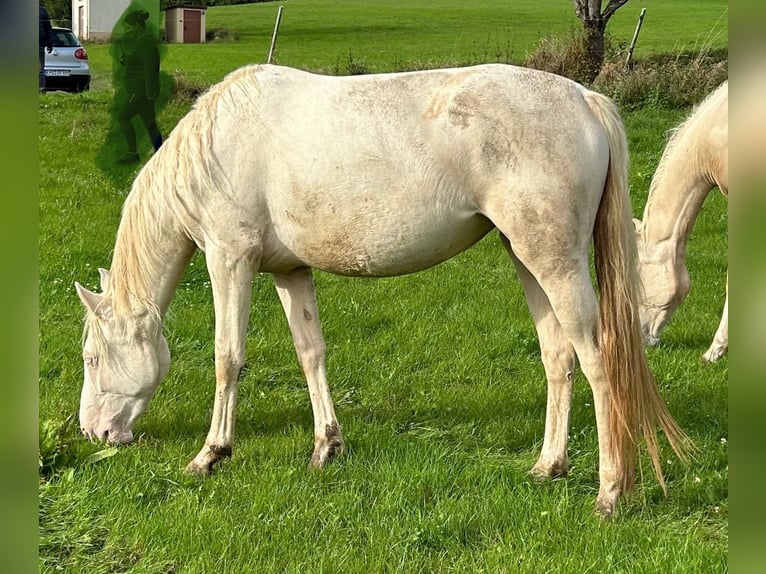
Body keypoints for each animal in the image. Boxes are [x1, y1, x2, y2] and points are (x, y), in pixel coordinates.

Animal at [76, 63, 688, 516]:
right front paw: (326, 446)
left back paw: (610, 492)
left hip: (554, 262)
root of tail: (584, 98)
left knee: (597, 358)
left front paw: (211, 454)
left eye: (90, 358)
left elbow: (228, 357)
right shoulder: (288, 271)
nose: (95, 431)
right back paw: (548, 466)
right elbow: (311, 353)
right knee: (557, 356)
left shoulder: (231, 260)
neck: (216, 146)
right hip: (526, 257)